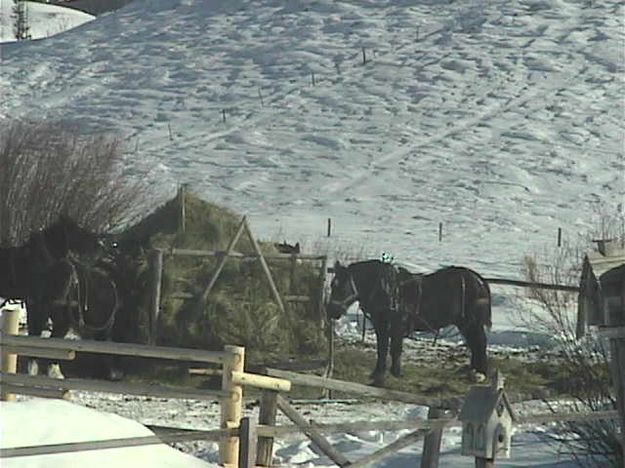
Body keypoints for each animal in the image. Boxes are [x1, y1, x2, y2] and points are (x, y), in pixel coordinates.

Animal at [324, 260, 490, 384]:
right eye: (332, 284)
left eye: (342, 286)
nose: (331, 310)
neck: (388, 290)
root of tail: (480, 281)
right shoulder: (381, 325)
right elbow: (382, 348)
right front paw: (378, 373)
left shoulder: (397, 324)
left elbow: (395, 349)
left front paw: (395, 373)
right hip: (466, 324)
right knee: (475, 344)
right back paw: (473, 372)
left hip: (471, 323)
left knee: (479, 343)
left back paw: (480, 374)